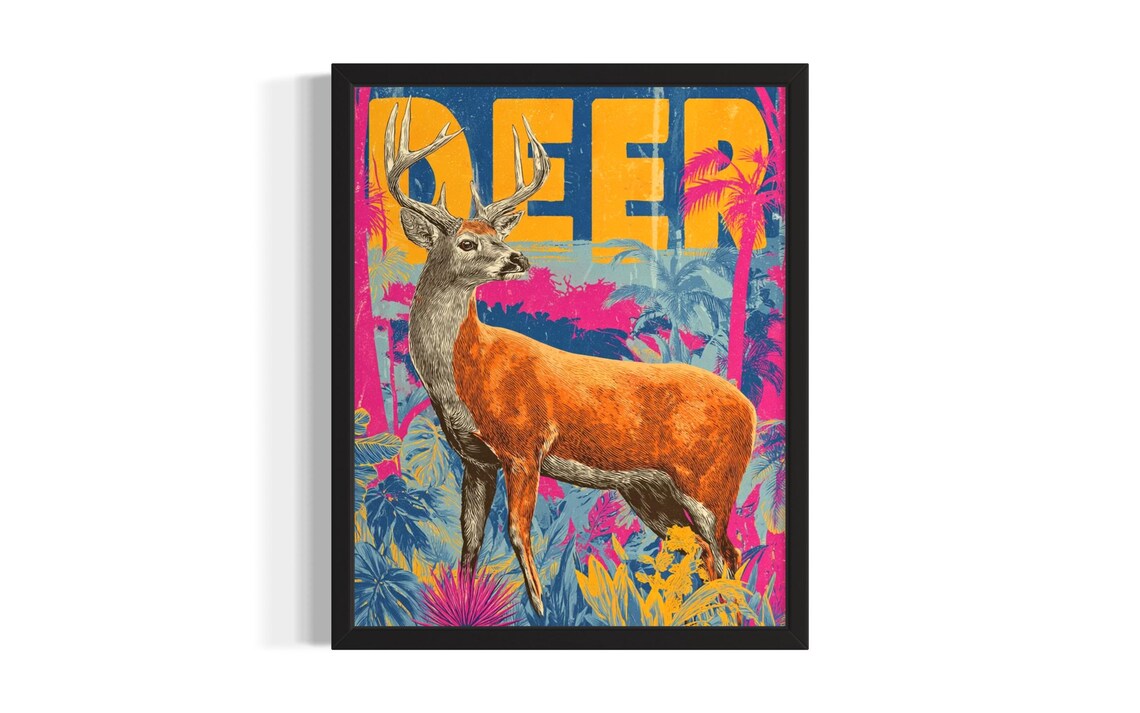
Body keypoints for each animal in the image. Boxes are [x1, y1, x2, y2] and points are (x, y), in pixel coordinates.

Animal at [385, 100, 756, 615]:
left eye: (497, 236)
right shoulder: (474, 459)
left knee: (728, 551)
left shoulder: (525, 445)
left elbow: (517, 533)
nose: (518, 259)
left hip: (711, 481)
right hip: (648, 490)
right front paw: (463, 601)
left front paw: (540, 609)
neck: (466, 373)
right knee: (699, 550)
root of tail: (751, 409)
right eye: (467, 242)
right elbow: (470, 541)